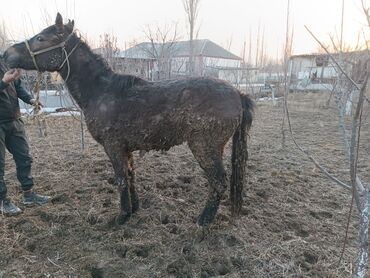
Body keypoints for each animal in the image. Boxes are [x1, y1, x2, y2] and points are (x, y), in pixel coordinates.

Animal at [4, 13, 254, 226]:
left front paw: (122, 216)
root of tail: (237, 93)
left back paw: (203, 221)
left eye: (40, 38)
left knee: (218, 181)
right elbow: (131, 175)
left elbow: (121, 178)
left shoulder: (113, 146)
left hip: (204, 146)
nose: (6, 54)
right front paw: (134, 209)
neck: (102, 91)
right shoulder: (126, 148)